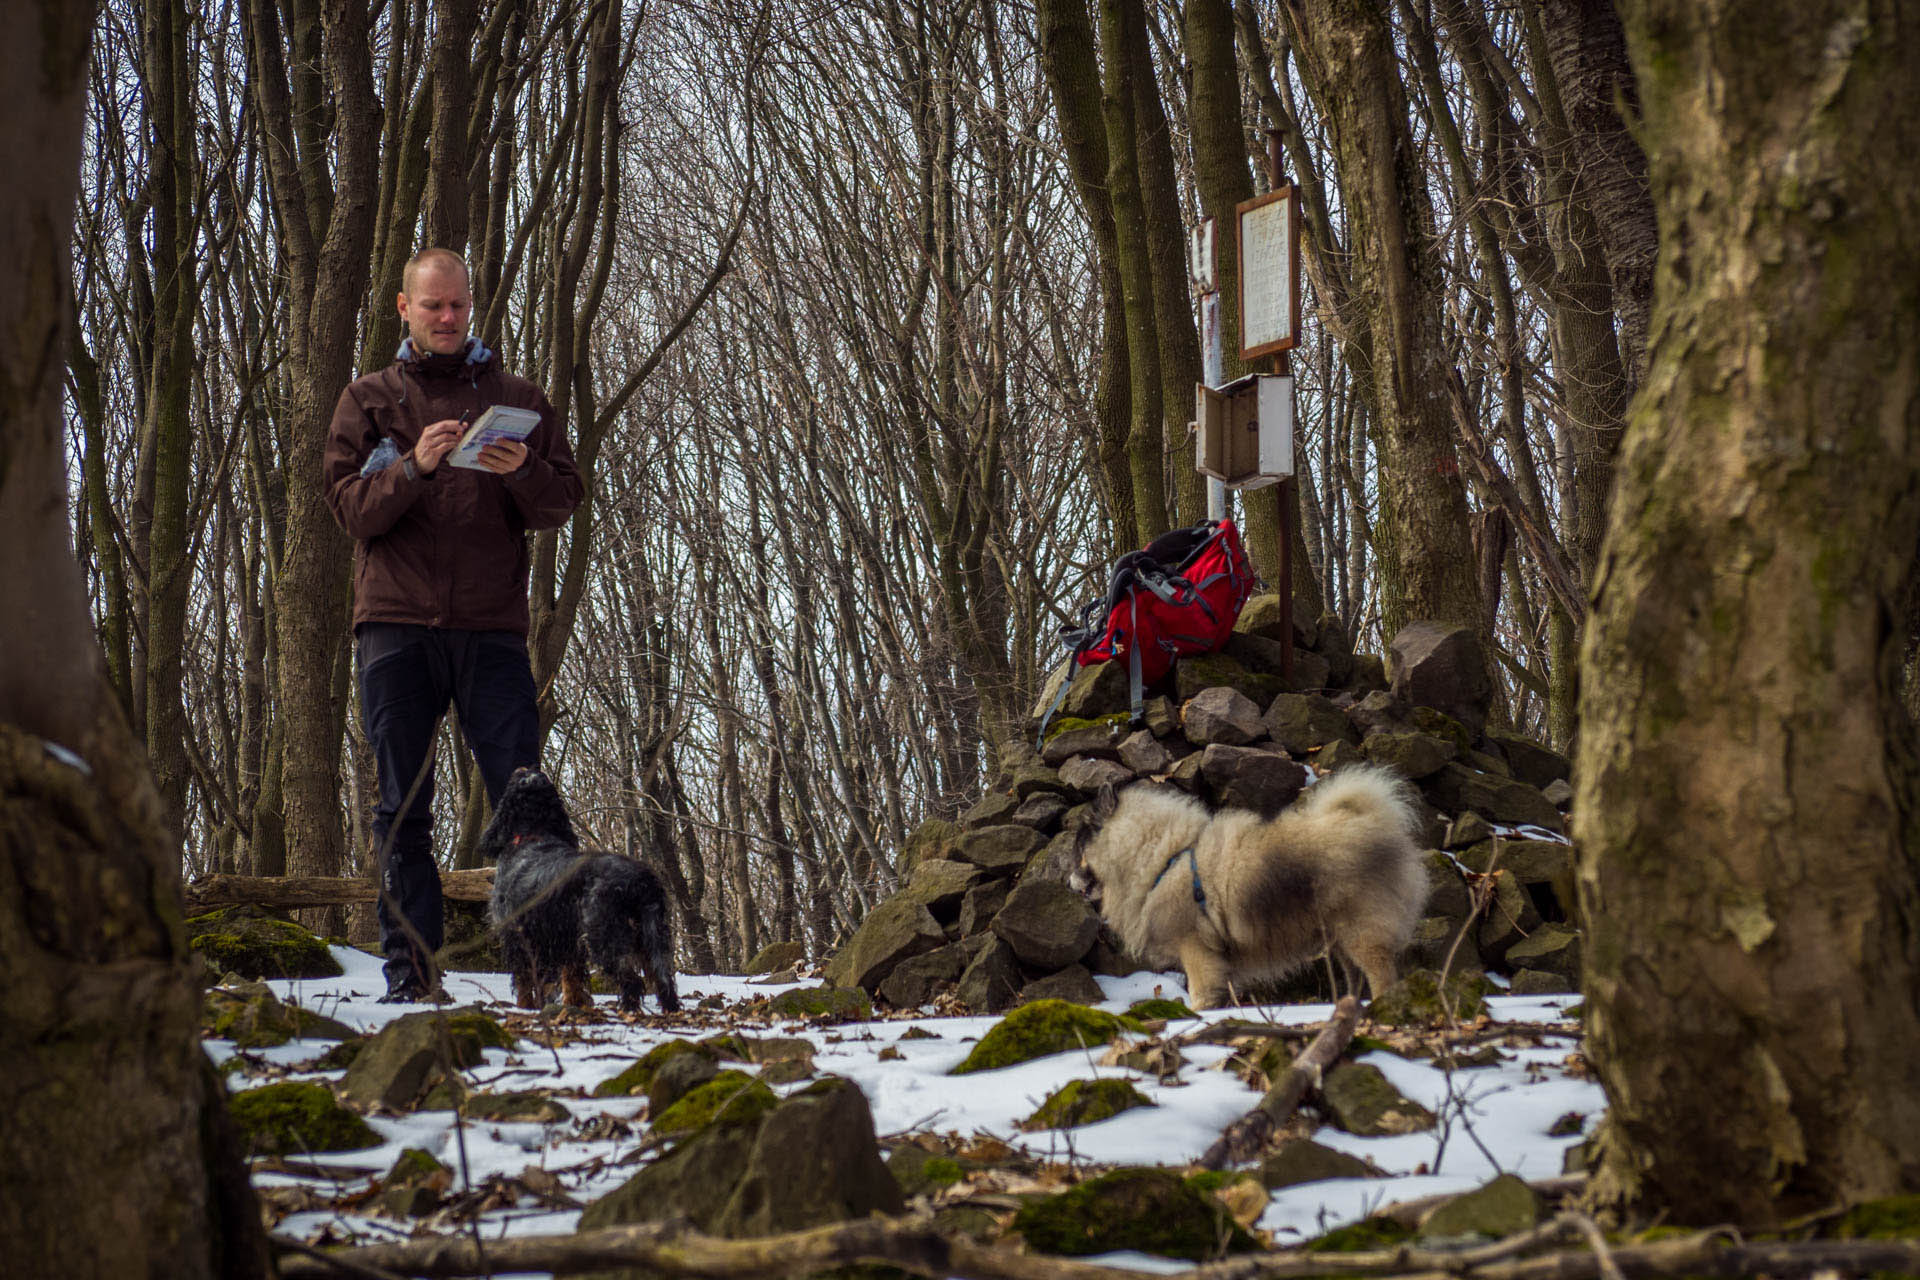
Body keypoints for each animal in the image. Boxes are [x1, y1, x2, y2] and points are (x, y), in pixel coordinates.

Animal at [480, 767, 683, 1013]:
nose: (523, 767)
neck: (534, 835)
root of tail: (640, 879)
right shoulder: (566, 940)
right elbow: (572, 977)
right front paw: (574, 1004)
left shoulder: (517, 936)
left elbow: (525, 981)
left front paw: (526, 1007)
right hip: (652, 932)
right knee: (663, 978)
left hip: (604, 935)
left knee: (631, 979)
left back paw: (627, 1010)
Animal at [1075, 767, 1436, 1005]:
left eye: (1079, 848)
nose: (1068, 878)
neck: (1164, 856)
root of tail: (1375, 822)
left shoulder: (1196, 949)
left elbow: (1199, 993)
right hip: (1342, 941)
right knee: (1355, 979)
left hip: (1362, 934)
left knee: (1381, 977)